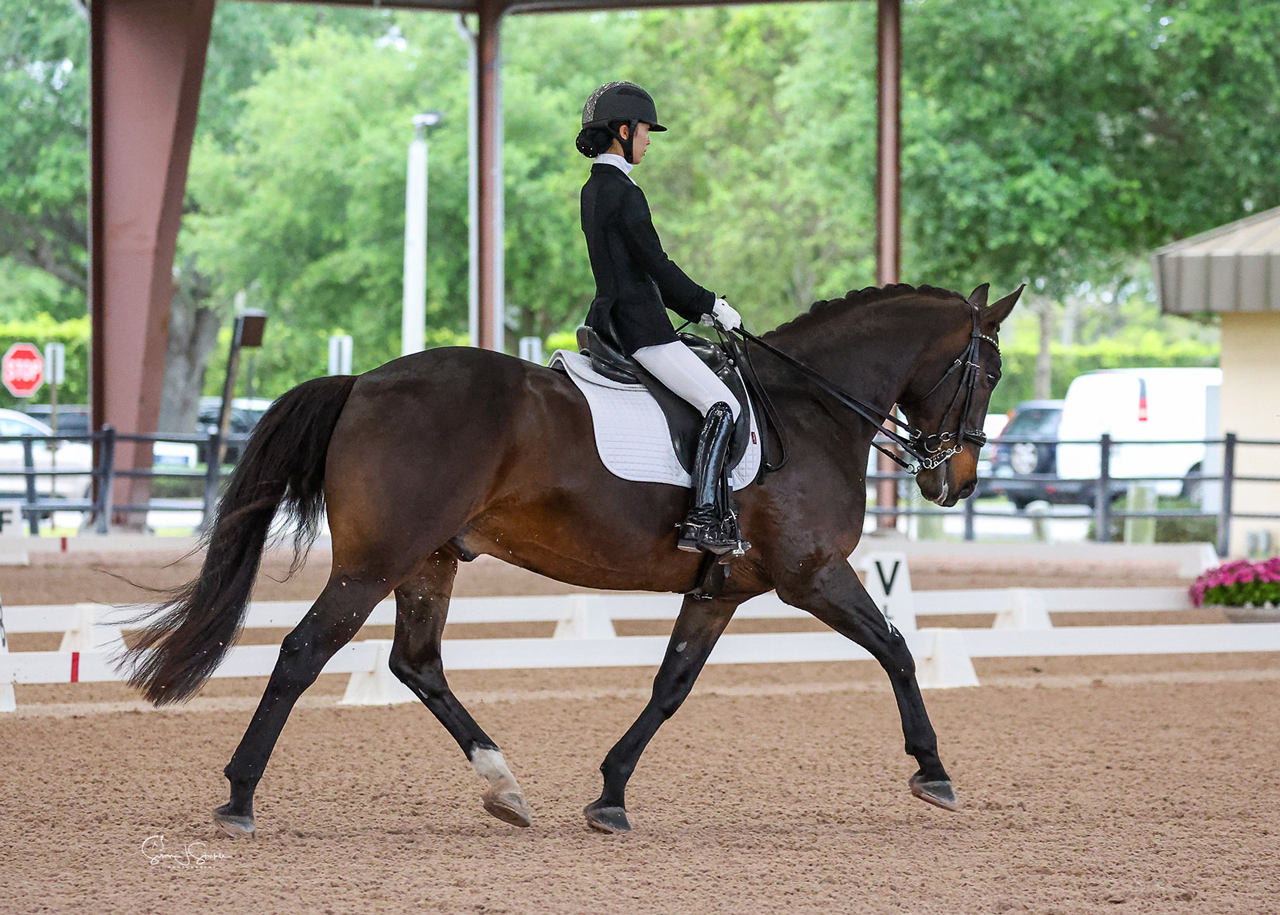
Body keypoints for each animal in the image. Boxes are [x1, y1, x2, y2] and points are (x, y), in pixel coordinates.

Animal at [123, 281, 1020, 836]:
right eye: (990, 370)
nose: (956, 480)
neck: (808, 407)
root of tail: (364, 381)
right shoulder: (812, 574)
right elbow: (898, 649)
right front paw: (933, 771)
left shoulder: (721, 589)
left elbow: (670, 686)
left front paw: (611, 792)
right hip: (376, 562)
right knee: (303, 651)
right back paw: (239, 796)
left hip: (429, 560)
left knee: (417, 663)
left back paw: (505, 787)